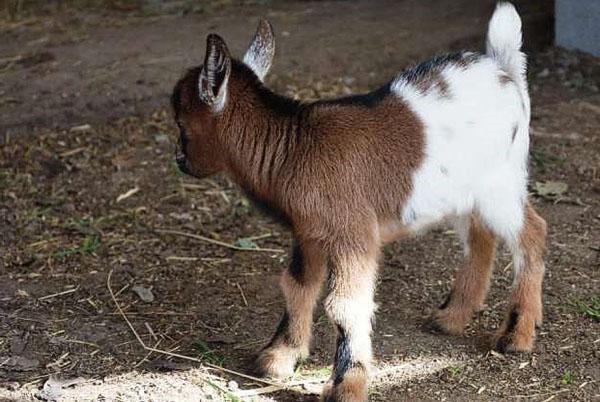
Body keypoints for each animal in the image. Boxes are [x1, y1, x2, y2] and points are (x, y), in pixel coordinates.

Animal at [171, 3, 548, 402]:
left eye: (181, 121)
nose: (180, 160)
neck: (294, 147)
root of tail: (503, 67)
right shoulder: (308, 233)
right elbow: (297, 284)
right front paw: (278, 357)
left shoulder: (353, 234)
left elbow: (345, 307)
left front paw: (346, 385)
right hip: (466, 193)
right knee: (480, 237)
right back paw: (451, 318)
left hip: (501, 182)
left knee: (532, 233)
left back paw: (516, 336)